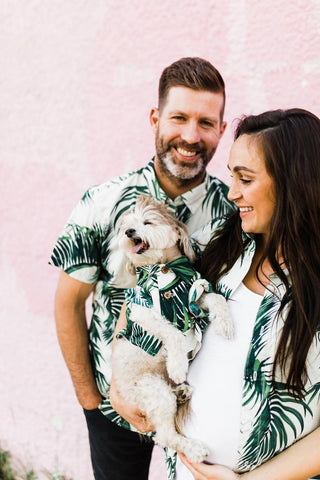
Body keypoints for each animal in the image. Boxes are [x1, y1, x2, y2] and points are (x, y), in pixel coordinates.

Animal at [112, 195, 232, 462]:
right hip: (152, 389)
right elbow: (173, 332)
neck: (166, 267)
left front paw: (225, 322)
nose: (129, 232)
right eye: (127, 225)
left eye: (147, 222)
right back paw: (194, 448)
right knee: (165, 436)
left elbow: (216, 298)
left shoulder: (193, 295)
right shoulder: (142, 309)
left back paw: (182, 393)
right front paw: (177, 365)